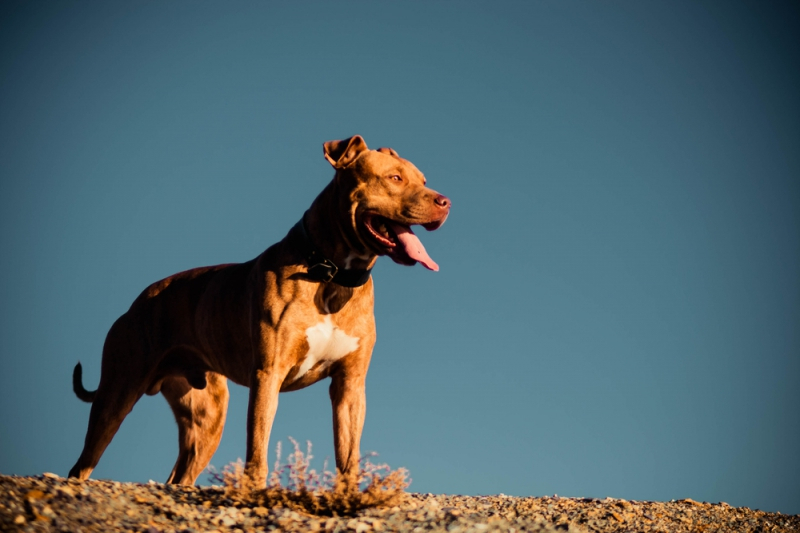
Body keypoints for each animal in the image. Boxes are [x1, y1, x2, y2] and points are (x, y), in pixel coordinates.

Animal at [69, 134, 450, 486]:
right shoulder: (268, 373)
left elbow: (348, 453)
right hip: (117, 393)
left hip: (206, 416)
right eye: (394, 178)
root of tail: (137, 301)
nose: (445, 202)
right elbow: (258, 443)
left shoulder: (350, 385)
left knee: (180, 475)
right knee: (83, 462)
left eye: (423, 181)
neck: (331, 273)